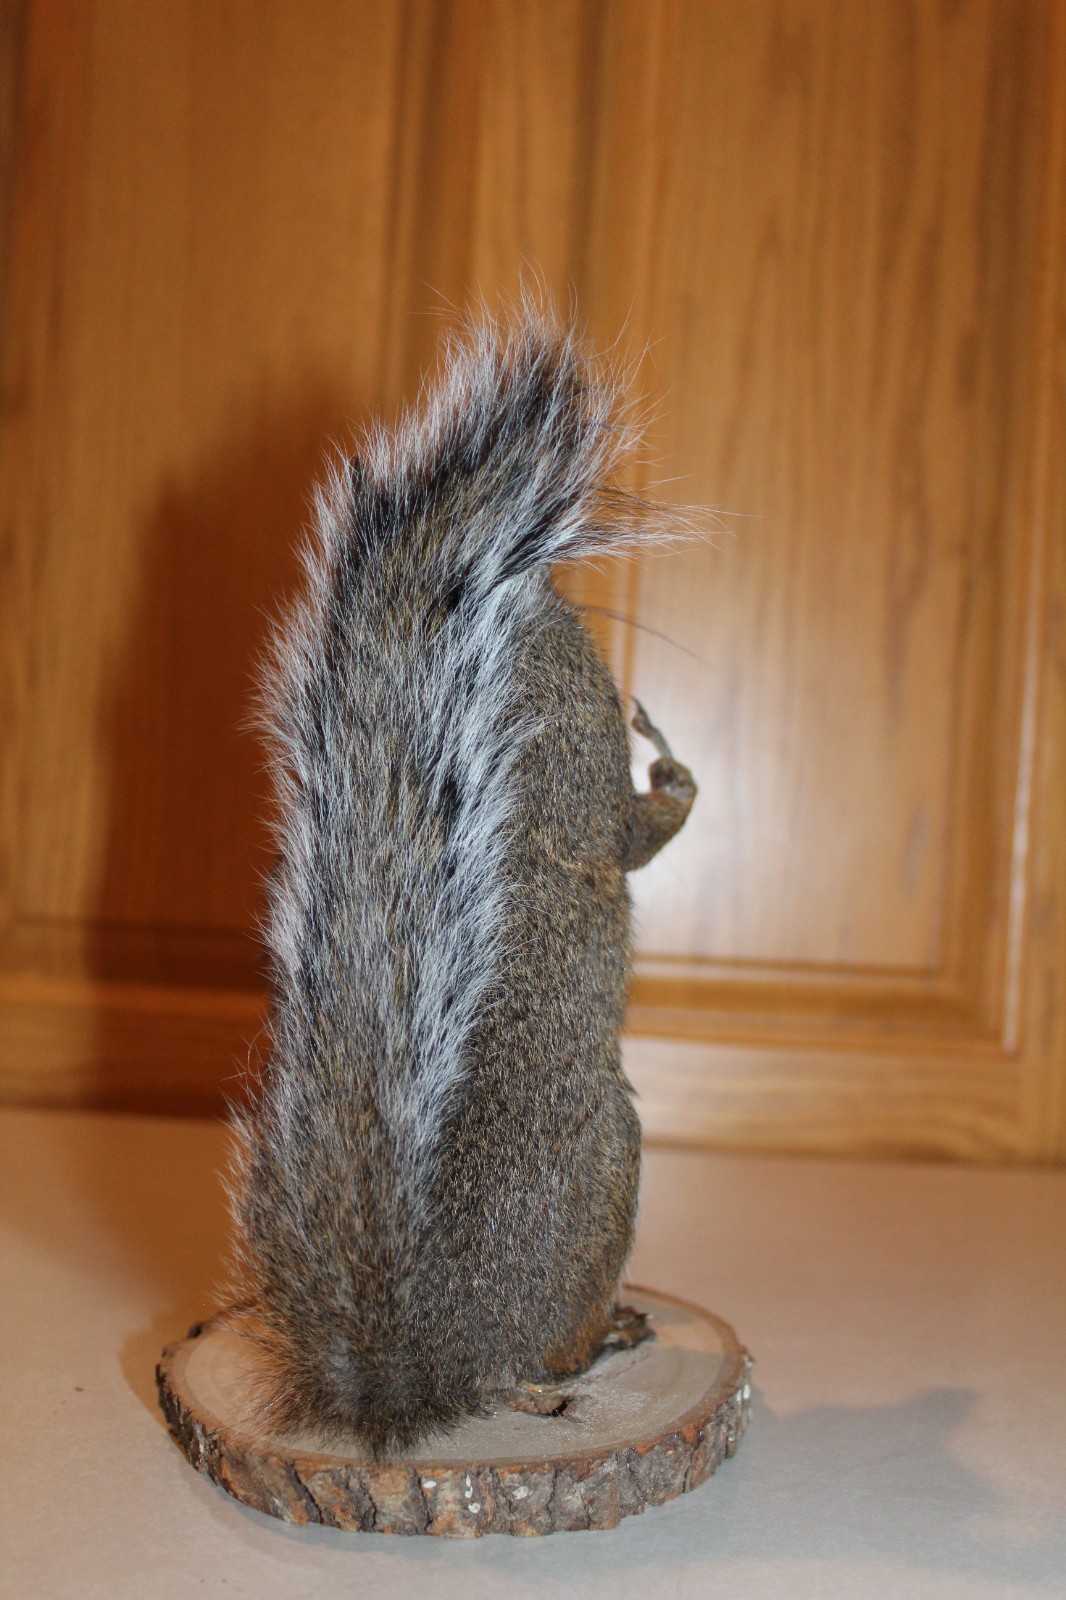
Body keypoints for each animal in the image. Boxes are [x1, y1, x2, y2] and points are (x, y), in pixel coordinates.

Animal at [231, 302, 697, 1457]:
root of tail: (430, 1363)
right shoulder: (576, 755)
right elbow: (631, 833)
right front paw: (674, 769)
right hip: (609, 1168)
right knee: (545, 1356)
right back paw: (600, 1335)